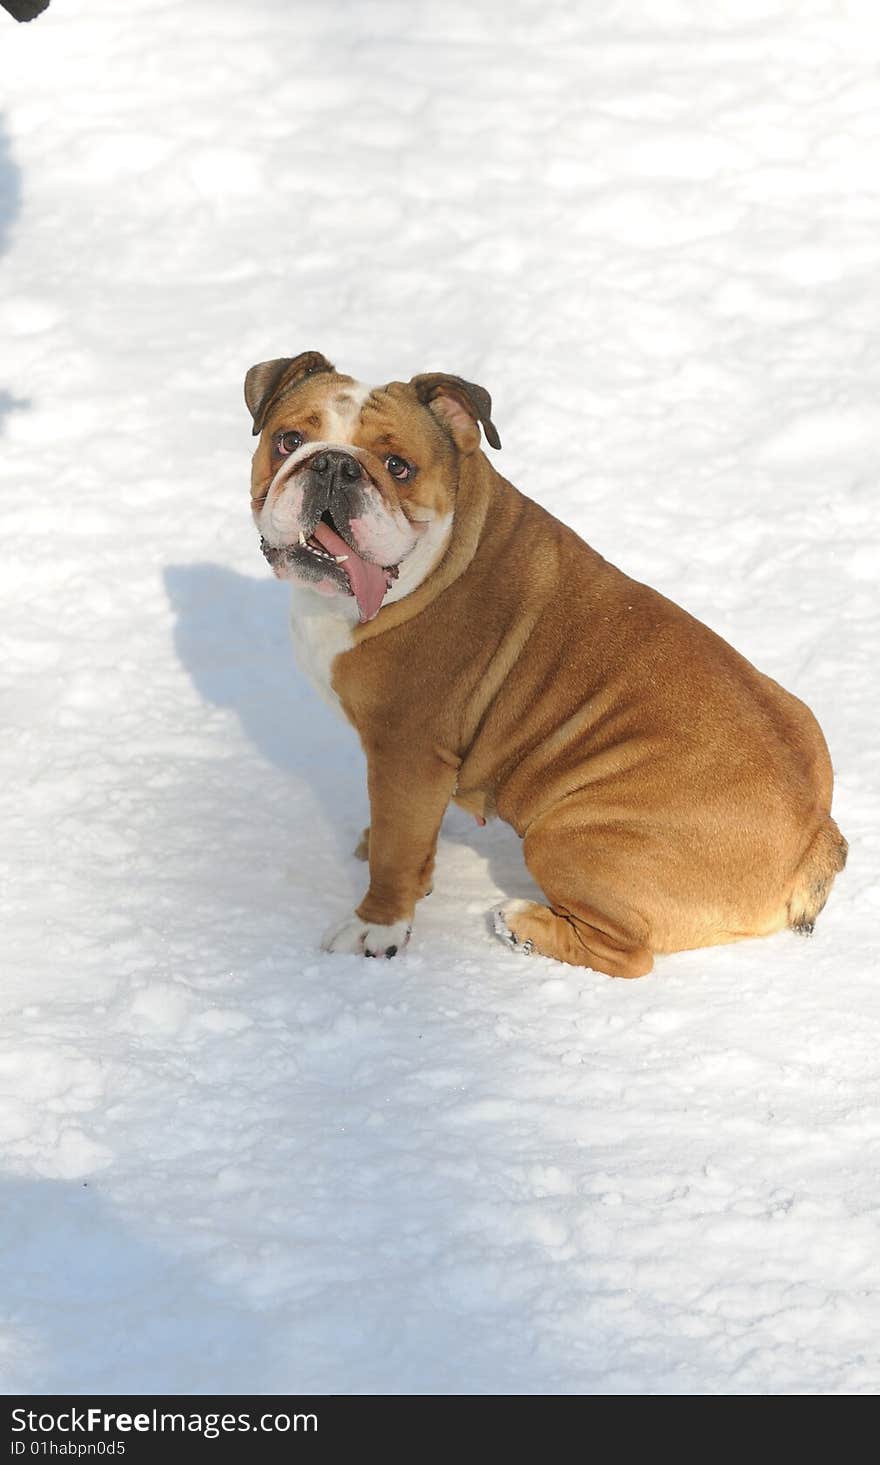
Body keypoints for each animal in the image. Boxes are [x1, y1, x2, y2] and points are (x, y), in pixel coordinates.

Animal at [241, 348, 843, 978]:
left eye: (397, 466)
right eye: (287, 440)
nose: (334, 465)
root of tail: (815, 837)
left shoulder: (407, 754)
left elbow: (394, 854)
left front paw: (375, 927)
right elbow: (412, 841)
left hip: (566, 834)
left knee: (630, 955)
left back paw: (524, 927)